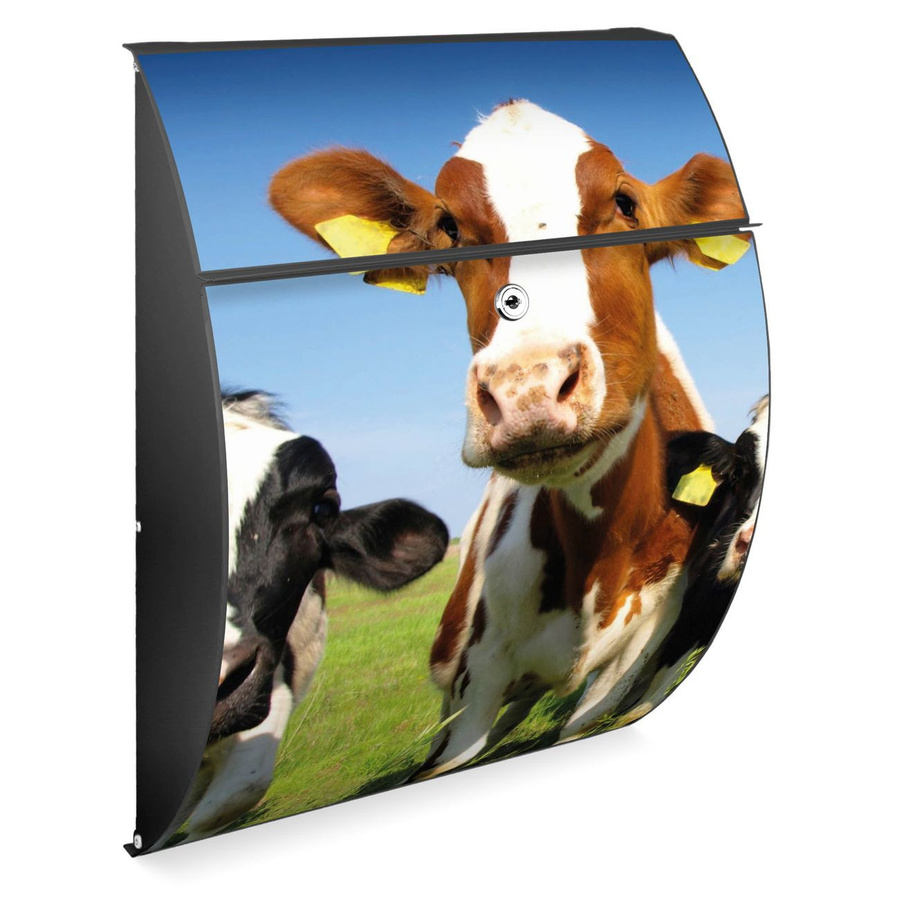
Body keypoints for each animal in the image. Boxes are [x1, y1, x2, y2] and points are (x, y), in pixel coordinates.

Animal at [269, 99, 751, 779]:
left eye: (624, 203)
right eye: (448, 226)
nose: (527, 390)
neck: (597, 557)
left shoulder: (635, 656)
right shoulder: (475, 683)